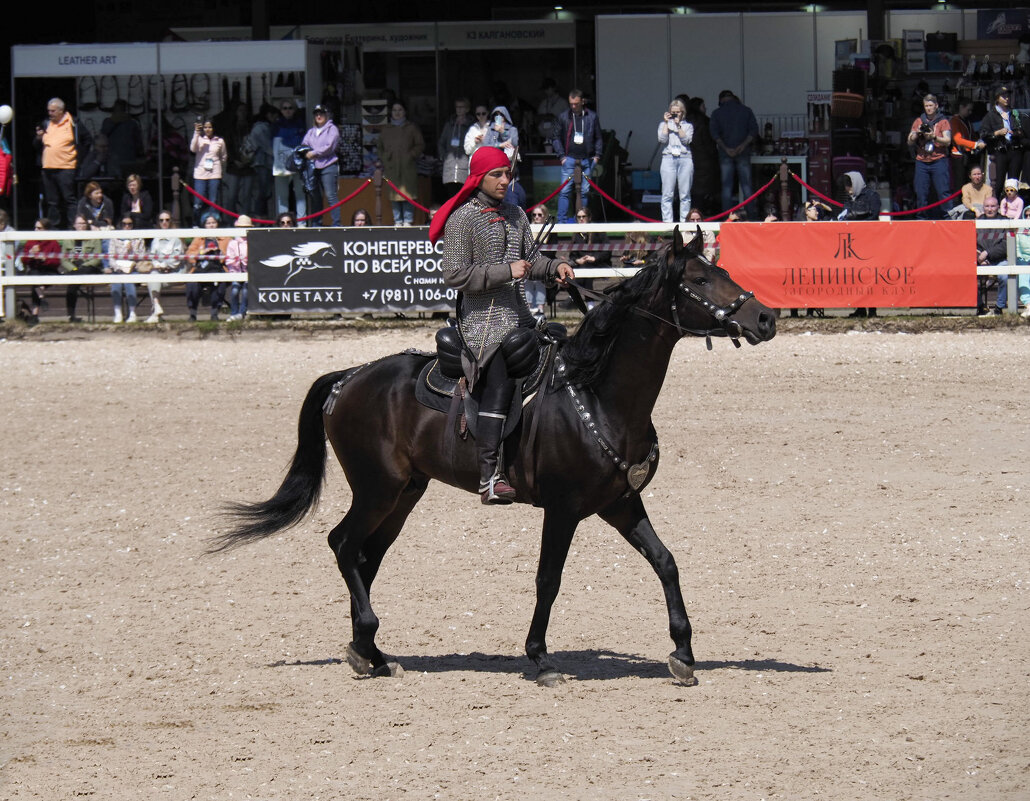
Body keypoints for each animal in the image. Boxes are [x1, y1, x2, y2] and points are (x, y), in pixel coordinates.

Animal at [213, 227, 774, 683]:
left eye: (723, 272)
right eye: (699, 280)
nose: (765, 317)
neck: (595, 393)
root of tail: (347, 379)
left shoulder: (619, 503)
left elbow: (666, 562)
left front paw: (683, 652)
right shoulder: (563, 510)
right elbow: (549, 579)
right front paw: (540, 658)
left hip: (403, 495)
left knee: (365, 556)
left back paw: (368, 652)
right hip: (377, 489)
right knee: (344, 544)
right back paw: (368, 644)